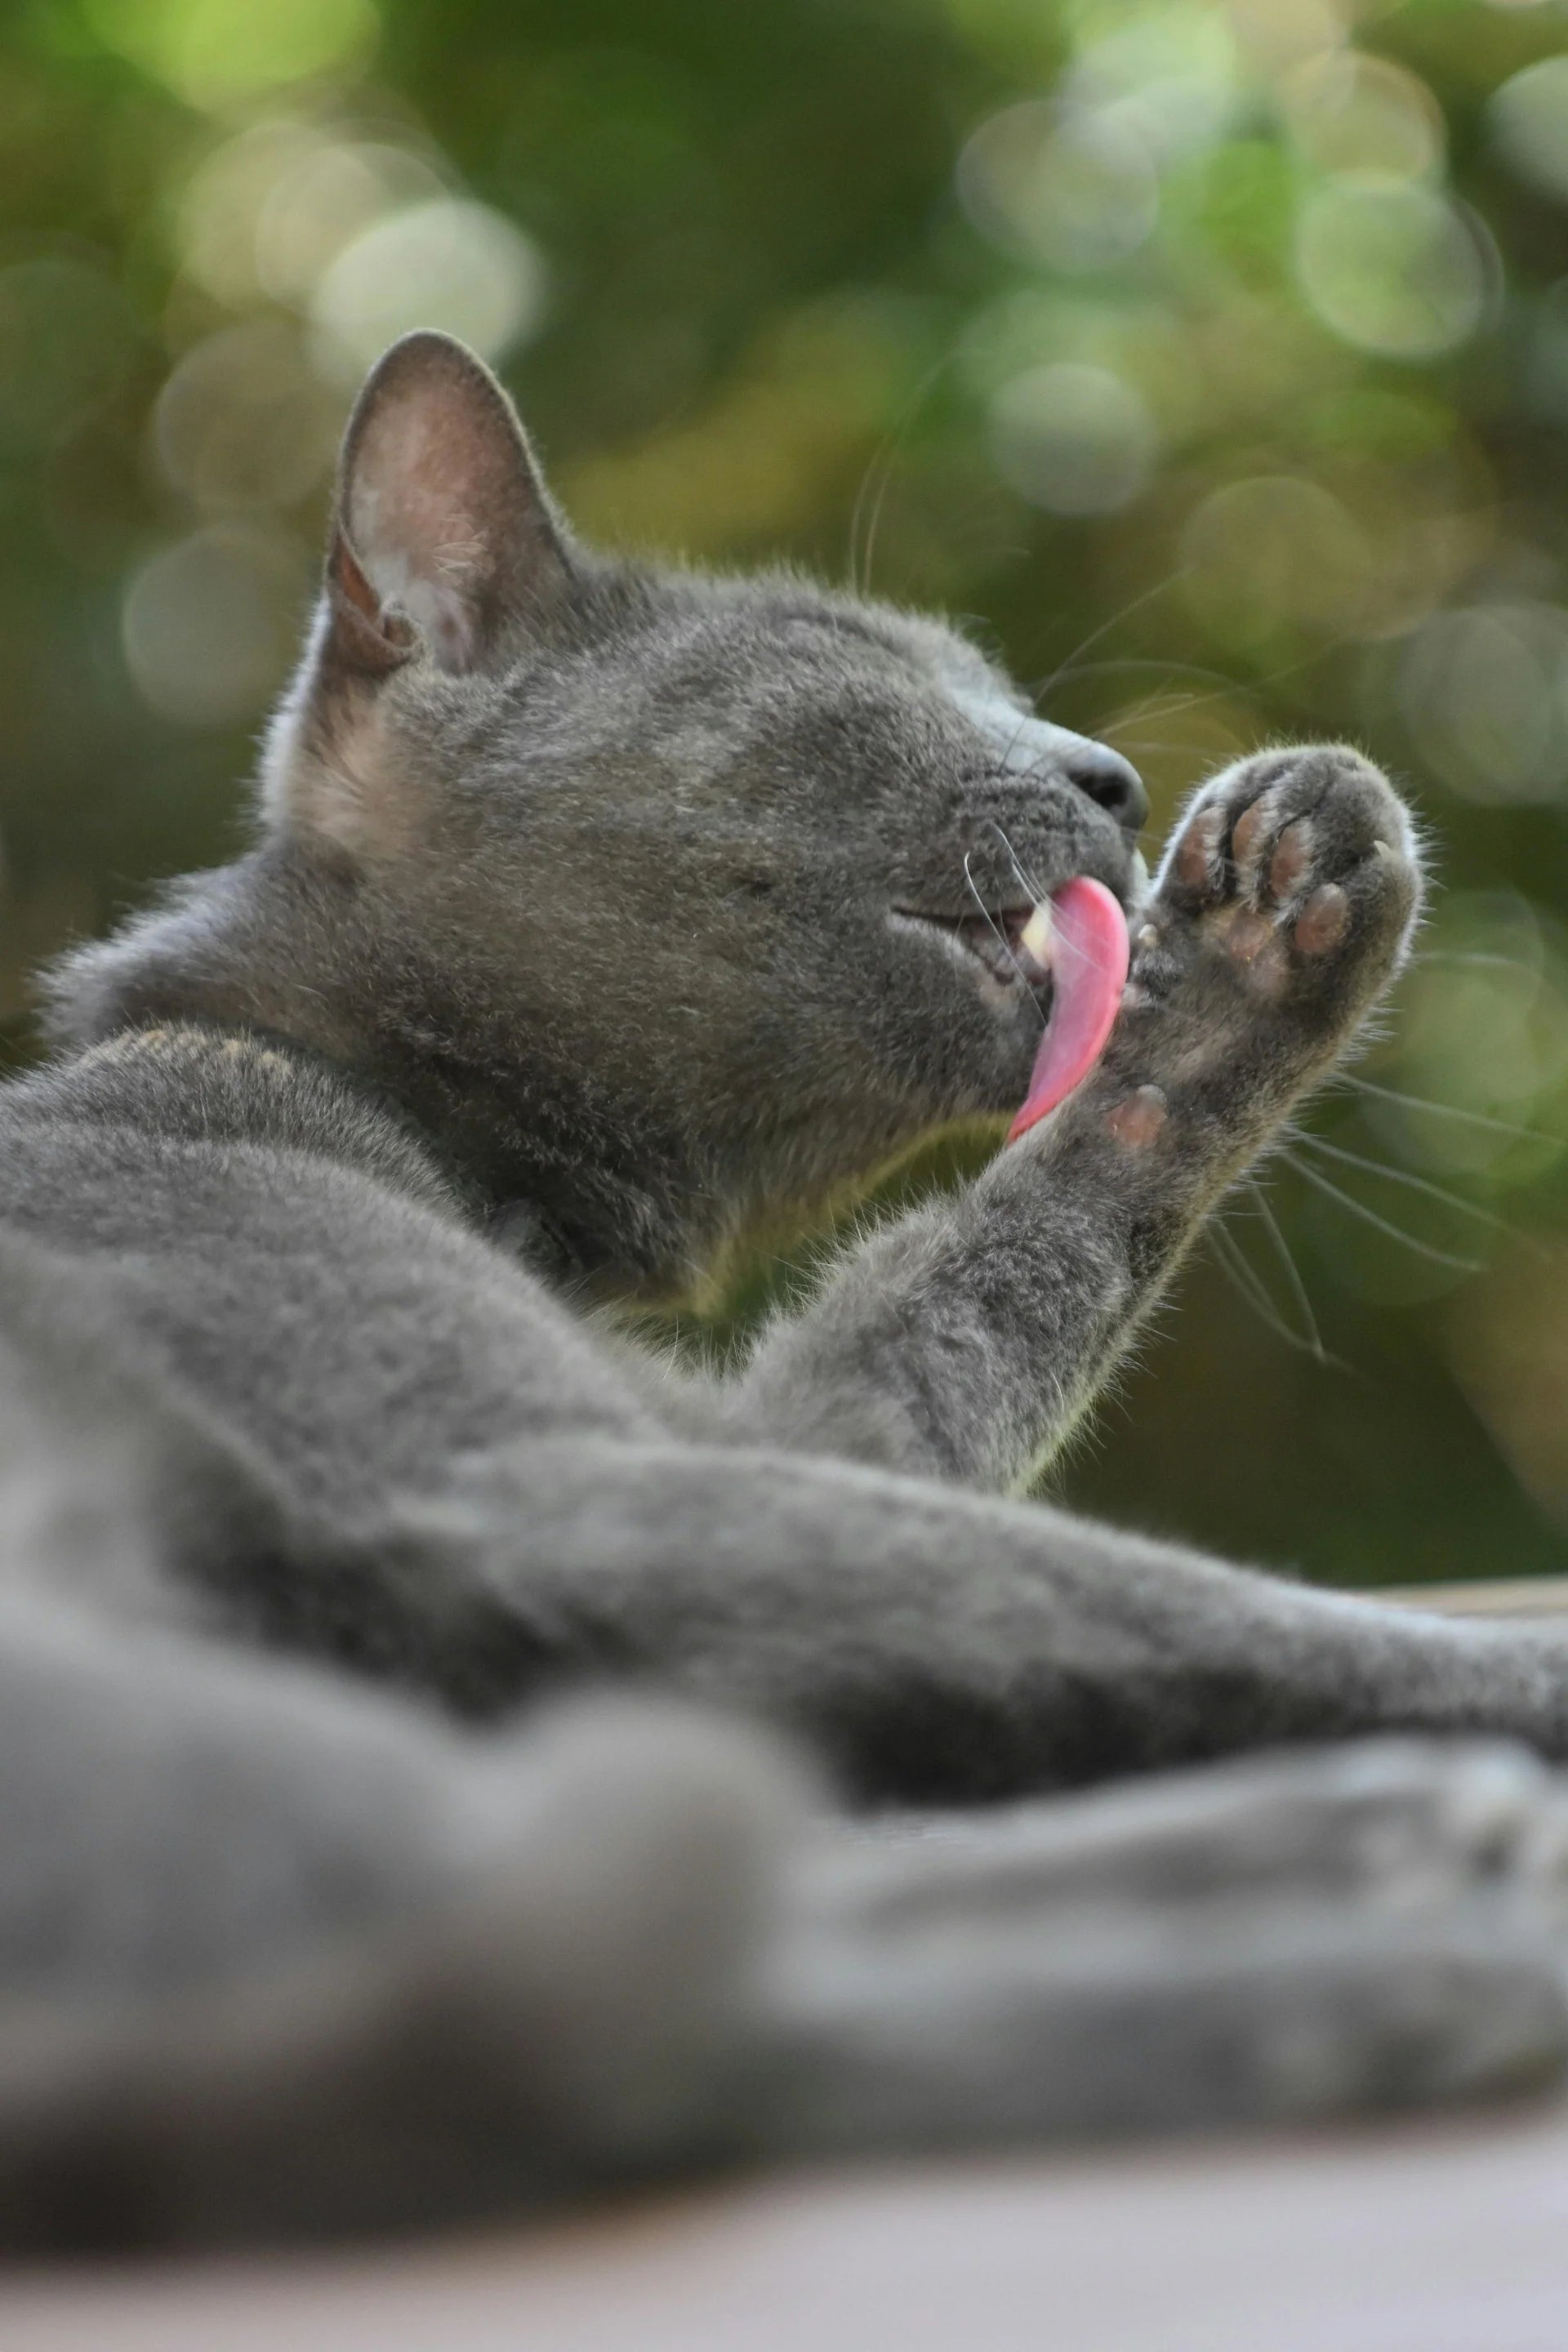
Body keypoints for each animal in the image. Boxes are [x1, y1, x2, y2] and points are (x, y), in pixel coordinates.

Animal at [2, 336, 1568, 2257]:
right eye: (858, 668)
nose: (1116, 776)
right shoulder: (554, 1478)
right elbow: (1276, 1617)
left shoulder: (789, 1434)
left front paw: (1285, 909)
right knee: (617, 2020)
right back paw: (1387, 1927)